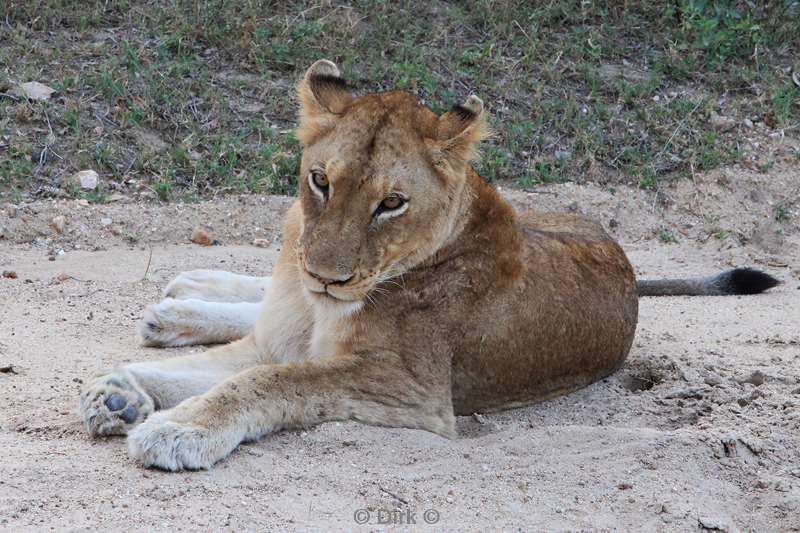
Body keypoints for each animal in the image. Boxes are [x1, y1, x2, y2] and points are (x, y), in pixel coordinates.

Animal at [78, 60, 780, 470]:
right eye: (320, 180)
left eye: (391, 202)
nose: (328, 276)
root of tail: (628, 263)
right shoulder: (287, 327)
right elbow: (218, 369)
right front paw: (120, 392)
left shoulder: (410, 390)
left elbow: (269, 382)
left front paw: (172, 425)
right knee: (265, 293)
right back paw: (183, 297)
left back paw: (179, 305)